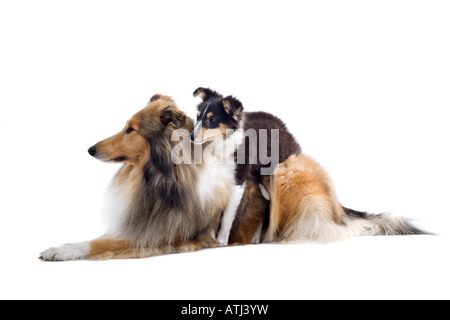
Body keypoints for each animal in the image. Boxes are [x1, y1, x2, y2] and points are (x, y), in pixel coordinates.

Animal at [40, 94, 234, 262]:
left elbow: (101, 243)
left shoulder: (159, 236)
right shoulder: (137, 224)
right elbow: (101, 237)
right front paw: (65, 247)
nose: (91, 150)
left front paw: (60, 251)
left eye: (130, 130)